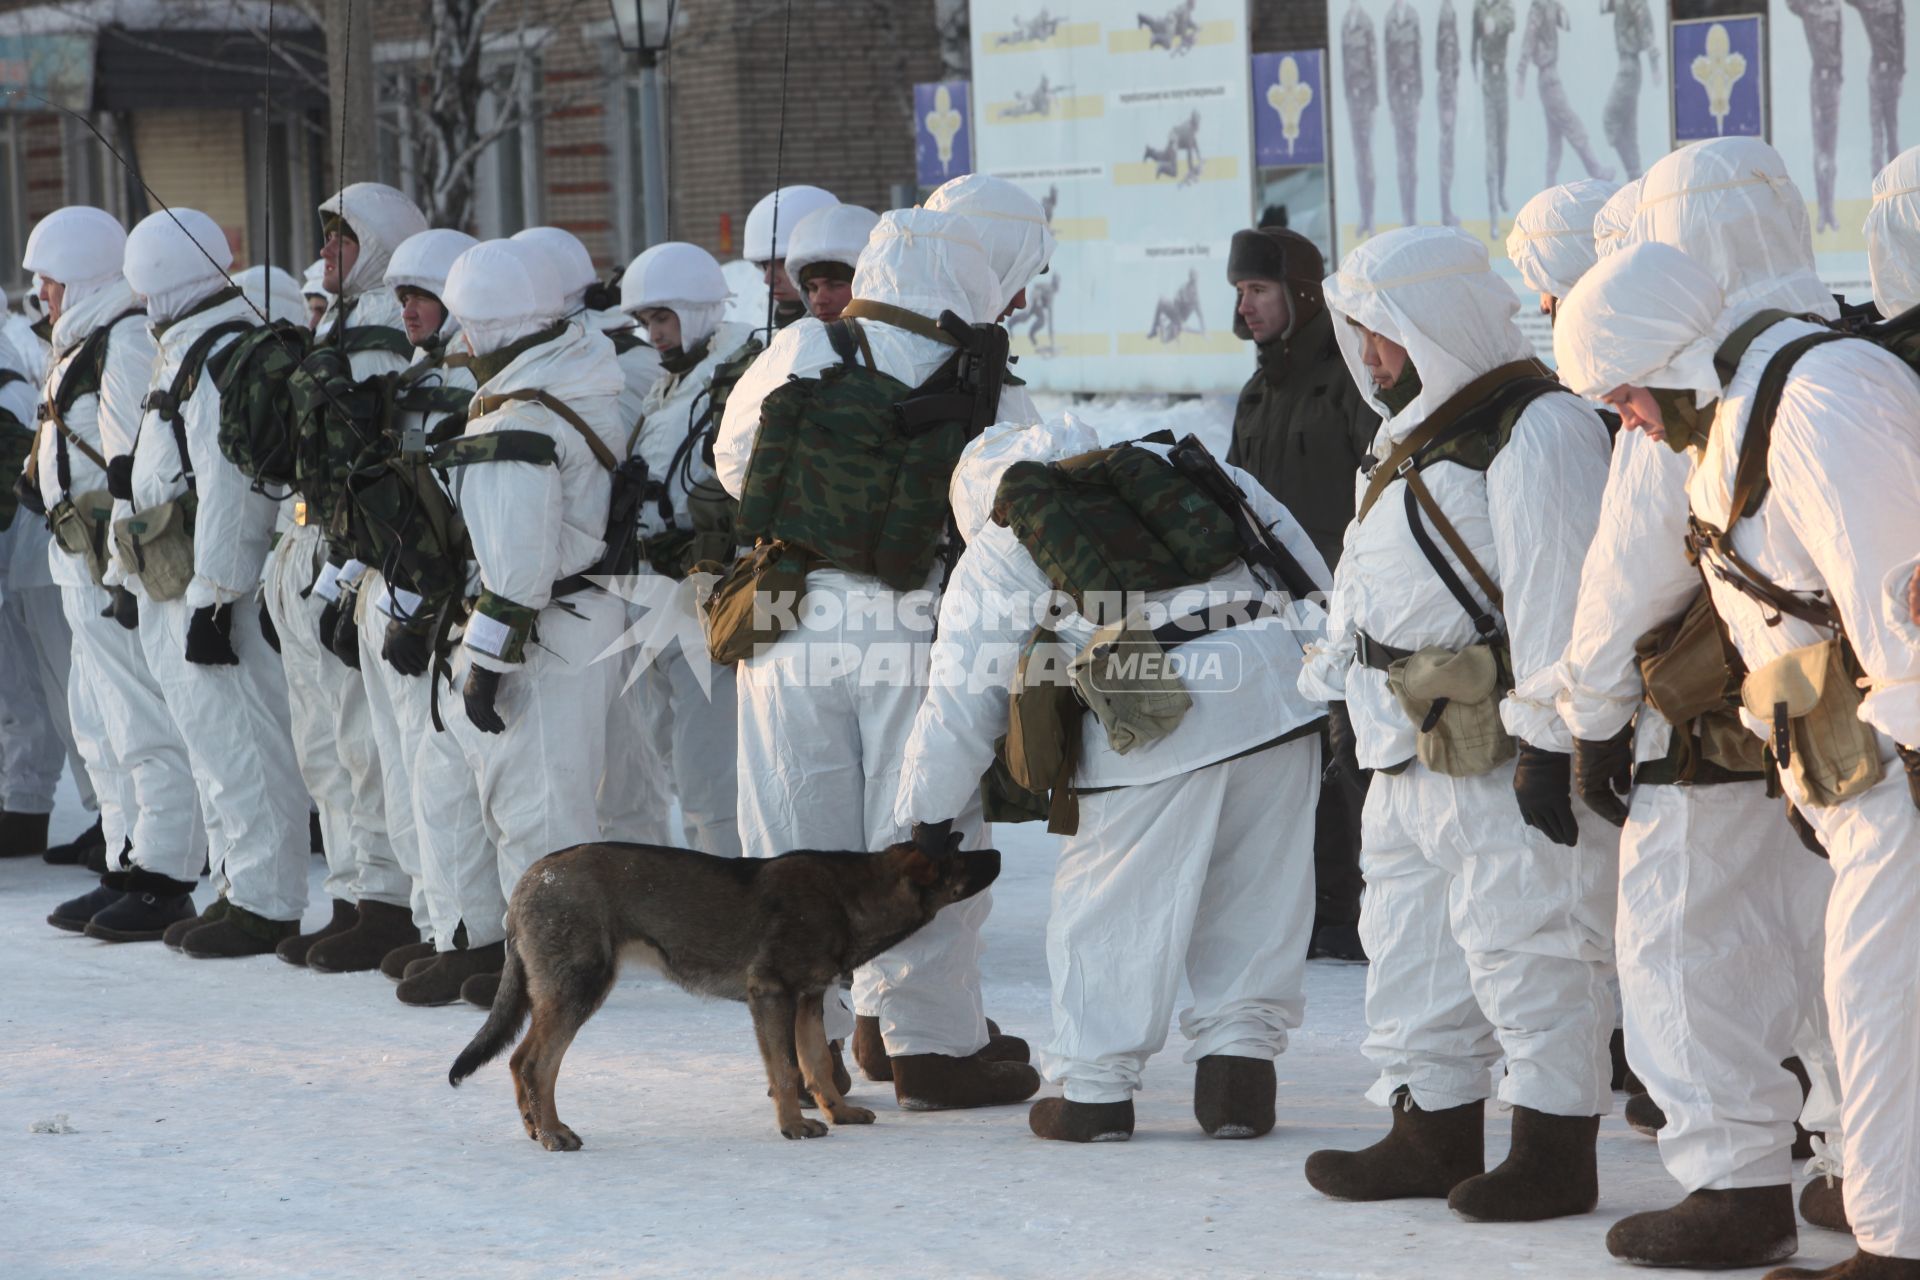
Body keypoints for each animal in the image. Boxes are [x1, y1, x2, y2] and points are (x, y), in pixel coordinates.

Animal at [443, 840, 998, 1151]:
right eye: (958, 859)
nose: (996, 853)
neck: (848, 896)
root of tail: (526, 882)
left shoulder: (808, 1001)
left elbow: (817, 1064)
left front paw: (838, 1113)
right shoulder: (771, 995)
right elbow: (786, 1070)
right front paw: (793, 1126)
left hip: (564, 994)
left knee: (519, 1061)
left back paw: (536, 1129)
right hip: (580, 989)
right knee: (536, 1064)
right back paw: (554, 1134)